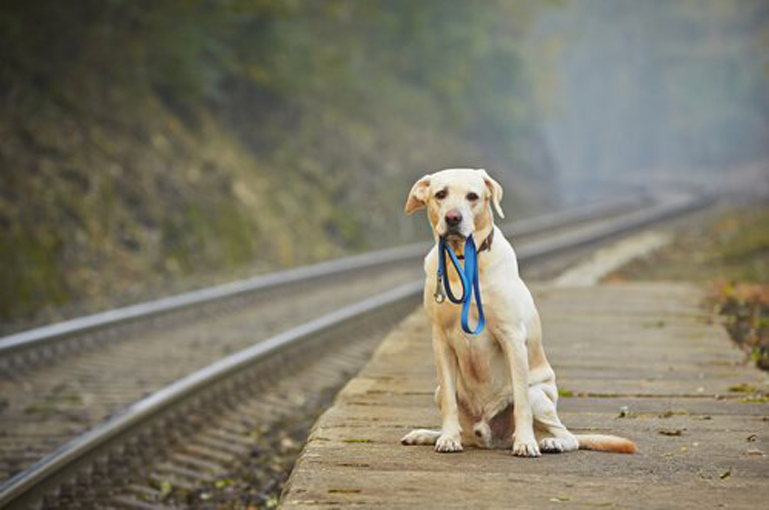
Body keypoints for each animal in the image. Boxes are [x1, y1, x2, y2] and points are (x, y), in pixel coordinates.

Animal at [400, 169, 632, 456]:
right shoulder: (441, 340)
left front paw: (525, 442)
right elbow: (450, 407)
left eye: (473, 196)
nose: (453, 218)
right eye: (440, 194)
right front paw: (448, 438)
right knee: (461, 422)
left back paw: (548, 442)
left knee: (567, 435)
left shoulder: (511, 337)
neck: (464, 262)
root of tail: (491, 437)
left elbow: (521, 403)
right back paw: (429, 434)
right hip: (439, 391)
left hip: (539, 396)